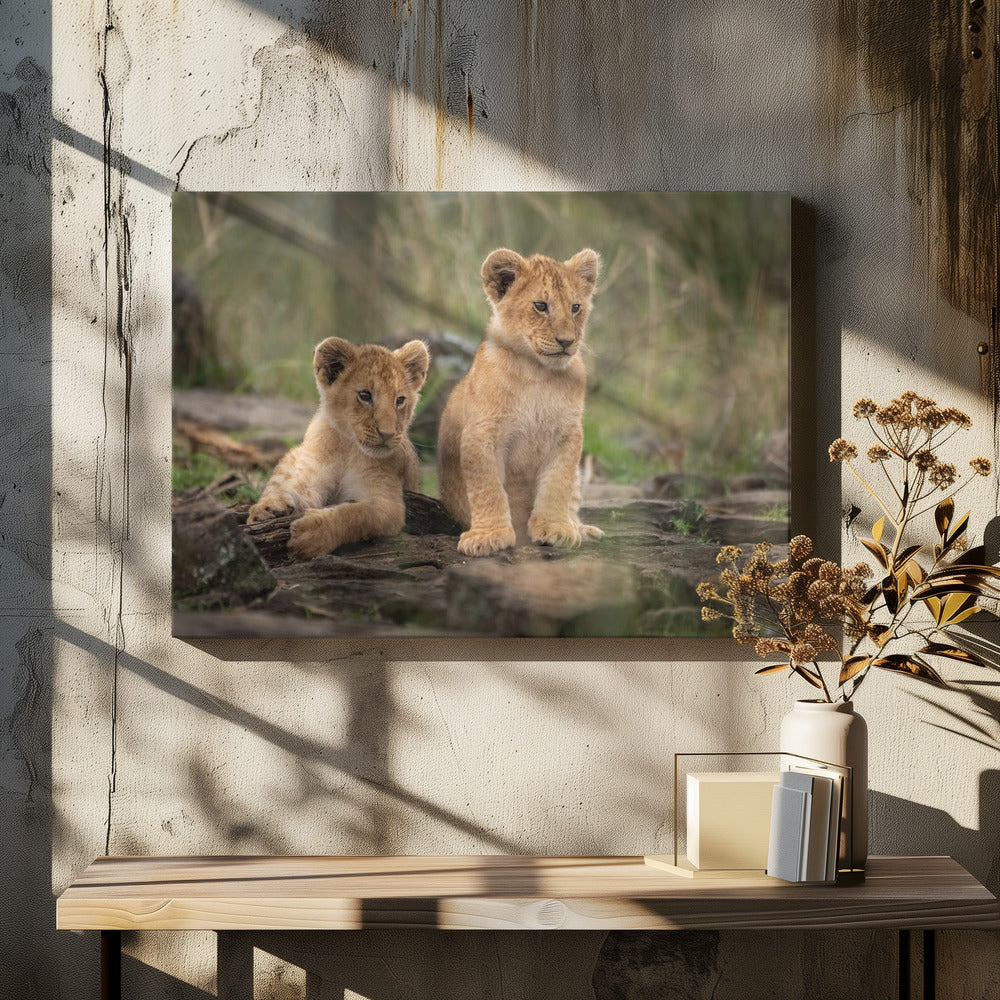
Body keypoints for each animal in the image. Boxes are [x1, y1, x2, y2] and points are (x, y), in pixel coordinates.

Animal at [247, 337, 430, 560]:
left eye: (400, 400)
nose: (387, 434)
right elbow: (295, 487)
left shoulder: (389, 504)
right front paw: (270, 508)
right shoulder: (313, 470)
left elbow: (356, 514)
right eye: (365, 395)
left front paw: (312, 535)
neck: (348, 447)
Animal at [437, 247, 603, 557]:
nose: (567, 341)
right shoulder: (482, 433)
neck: (537, 373)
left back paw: (580, 529)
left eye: (576, 307)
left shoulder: (568, 433)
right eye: (540, 306)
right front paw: (488, 535)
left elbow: (558, 483)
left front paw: (556, 529)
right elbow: (488, 487)